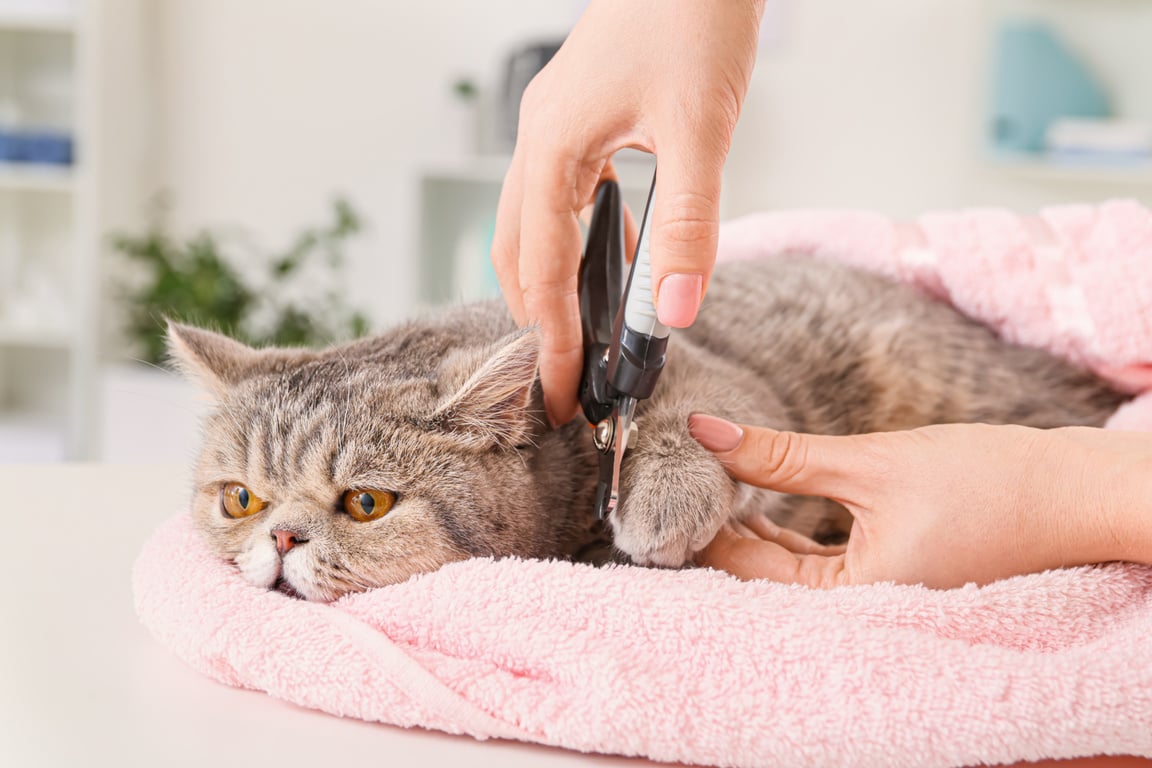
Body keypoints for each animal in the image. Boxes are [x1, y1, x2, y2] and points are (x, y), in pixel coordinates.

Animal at [170, 257, 1124, 598]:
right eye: (241, 499)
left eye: (366, 503)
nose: (282, 540)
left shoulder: (714, 376)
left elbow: (687, 421)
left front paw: (663, 496)